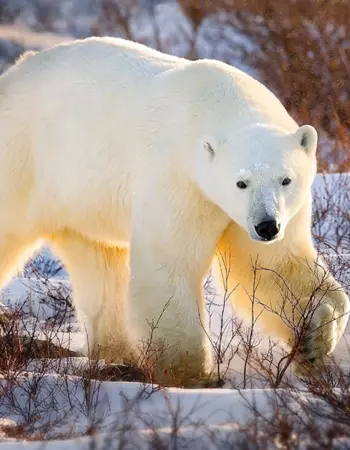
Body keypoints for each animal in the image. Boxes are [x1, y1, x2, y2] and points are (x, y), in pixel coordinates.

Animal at [0, 37, 348, 384]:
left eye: (285, 179)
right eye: (241, 182)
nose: (267, 226)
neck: (217, 103)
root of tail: (16, 70)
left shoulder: (265, 215)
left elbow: (274, 266)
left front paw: (313, 341)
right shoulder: (181, 178)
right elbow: (170, 265)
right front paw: (191, 374)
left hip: (81, 200)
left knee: (98, 261)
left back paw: (116, 352)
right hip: (24, 158)